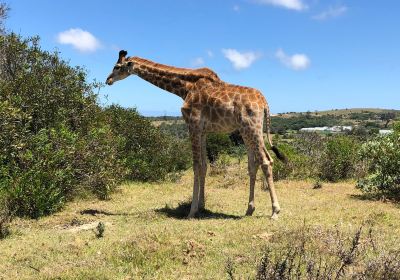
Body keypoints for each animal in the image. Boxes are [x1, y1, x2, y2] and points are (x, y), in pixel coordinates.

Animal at [106, 51, 288, 220]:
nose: (108, 80)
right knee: (252, 164)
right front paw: (201, 205)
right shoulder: (203, 131)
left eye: (117, 67)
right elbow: (204, 166)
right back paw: (249, 209)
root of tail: (264, 103)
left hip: (252, 127)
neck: (184, 87)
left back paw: (275, 211)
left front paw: (192, 211)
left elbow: (195, 166)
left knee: (266, 161)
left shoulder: (192, 125)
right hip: (245, 131)